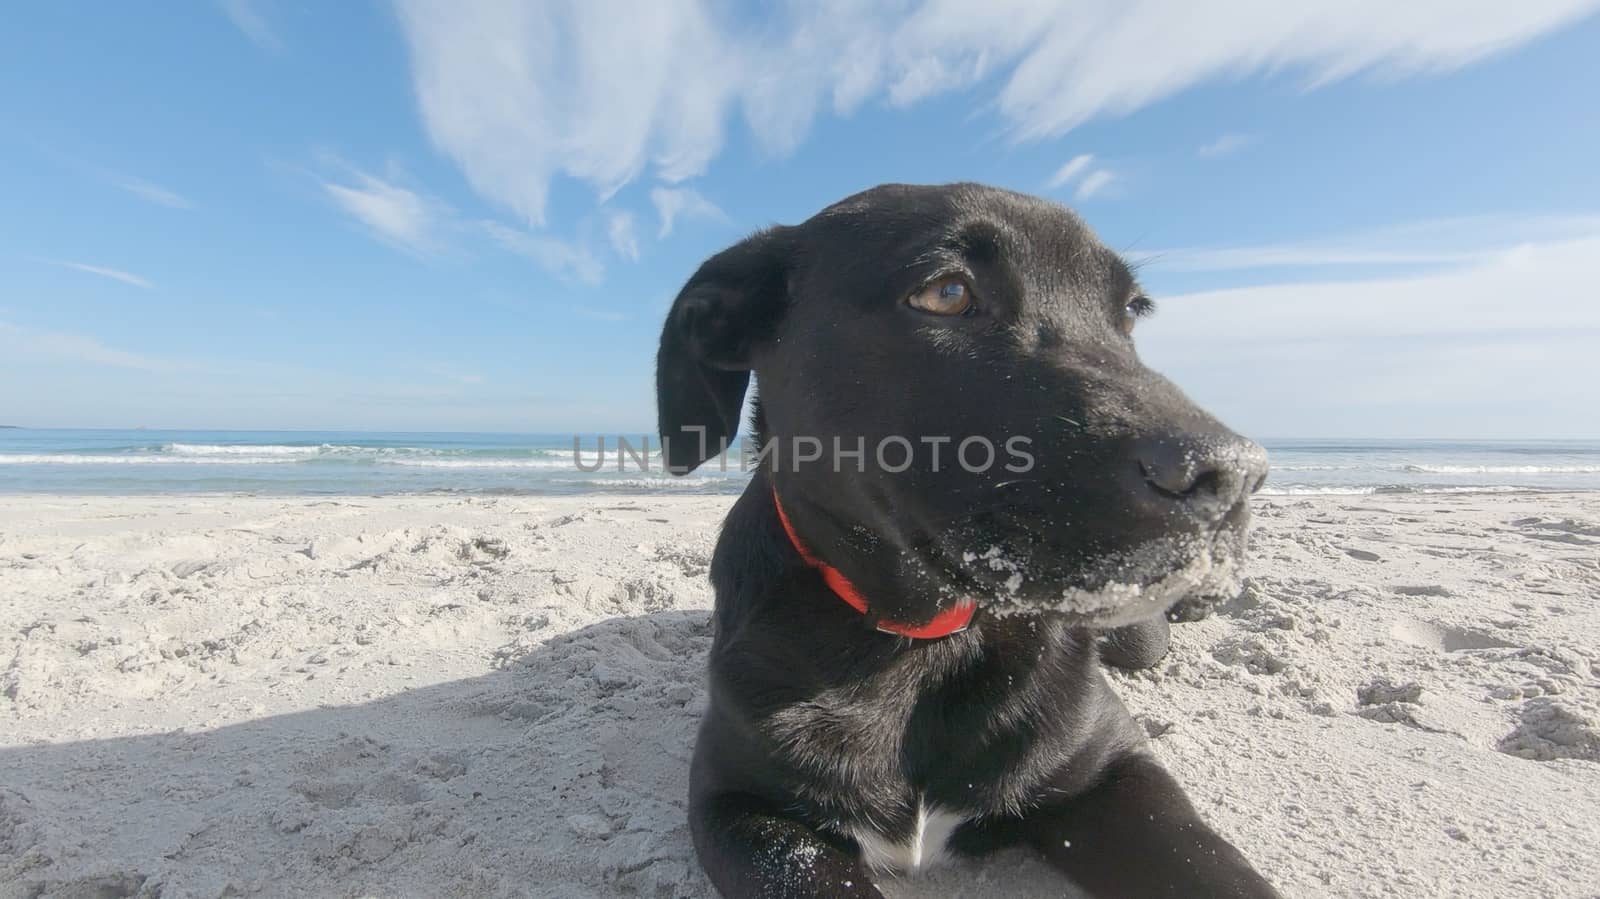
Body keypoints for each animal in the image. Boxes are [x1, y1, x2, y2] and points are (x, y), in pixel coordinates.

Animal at [656, 182, 1280, 895]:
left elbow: (1219, 868)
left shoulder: (1115, 767)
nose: (1234, 476)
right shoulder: (737, 804)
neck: (922, 644)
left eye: (1130, 312)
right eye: (946, 293)